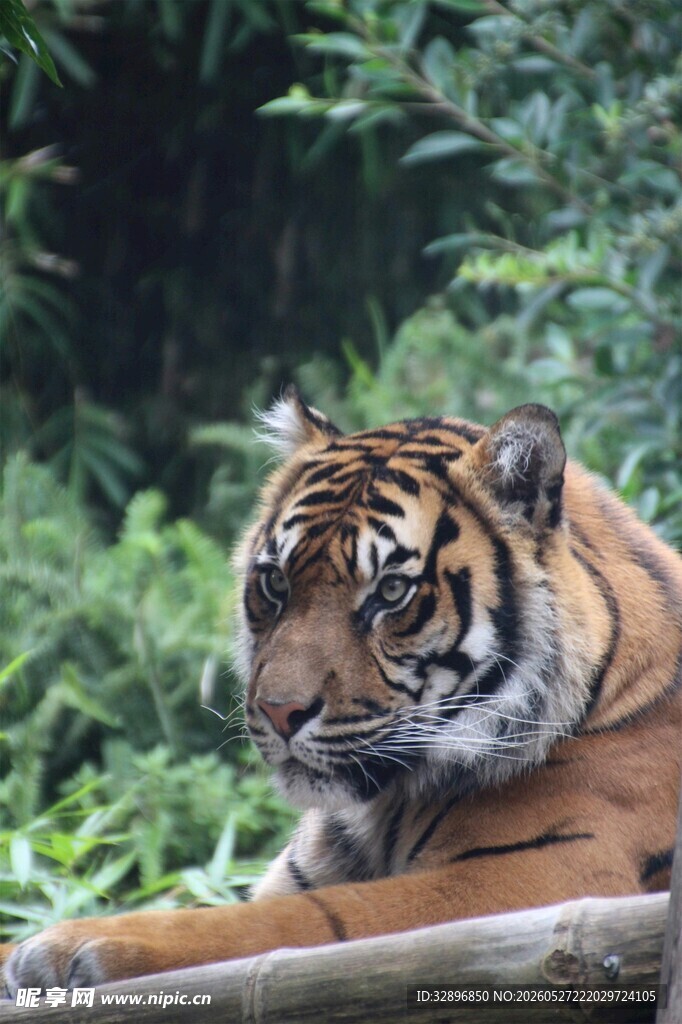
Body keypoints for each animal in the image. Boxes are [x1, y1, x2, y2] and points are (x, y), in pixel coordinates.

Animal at [3, 388, 681, 993]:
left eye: (390, 591)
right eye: (275, 583)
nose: (279, 711)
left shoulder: (522, 883)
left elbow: (277, 924)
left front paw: (76, 943)